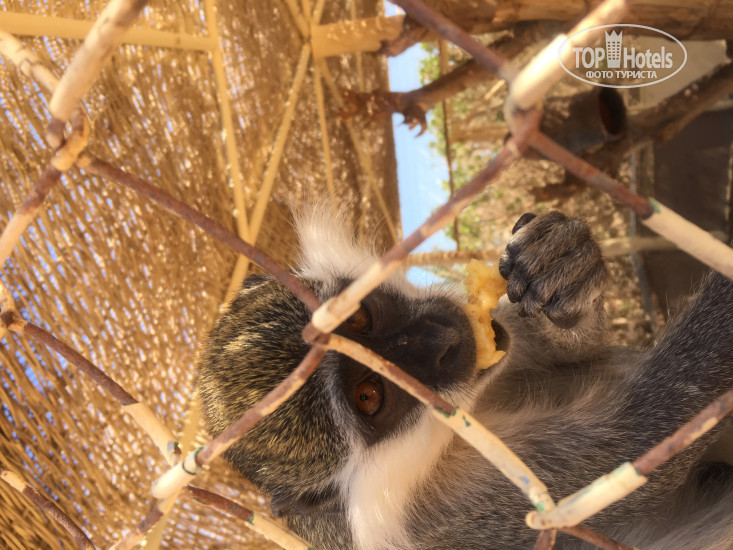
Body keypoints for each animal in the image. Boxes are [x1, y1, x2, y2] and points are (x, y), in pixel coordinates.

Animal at [197, 208, 733, 549]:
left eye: (358, 318)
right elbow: (641, 434)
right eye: (370, 397)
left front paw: (561, 261)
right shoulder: (437, 513)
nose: (444, 338)